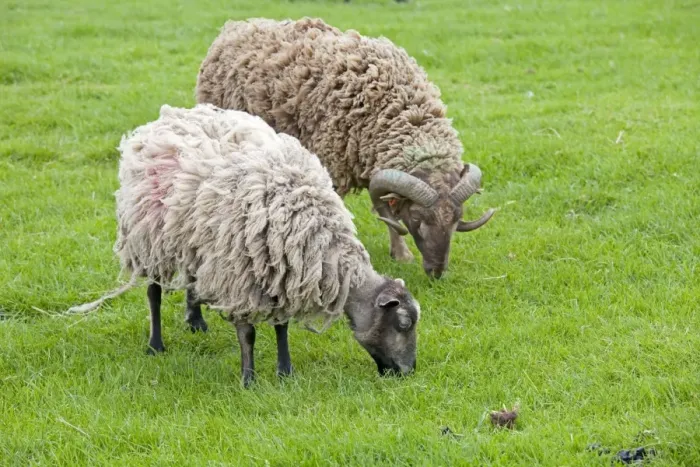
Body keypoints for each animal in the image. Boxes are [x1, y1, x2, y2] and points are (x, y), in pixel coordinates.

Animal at [72, 103, 419, 387]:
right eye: (403, 323)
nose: (407, 372)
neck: (321, 244)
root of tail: (167, 117)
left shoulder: (281, 268)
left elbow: (281, 326)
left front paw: (285, 372)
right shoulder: (240, 275)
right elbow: (248, 333)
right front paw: (248, 380)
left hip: (196, 238)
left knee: (192, 277)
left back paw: (196, 320)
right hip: (149, 237)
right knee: (153, 292)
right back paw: (155, 345)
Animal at [195, 17, 495, 279]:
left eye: (456, 220)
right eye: (418, 219)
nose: (437, 272)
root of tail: (236, 26)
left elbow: (386, 213)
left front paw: (400, 254)